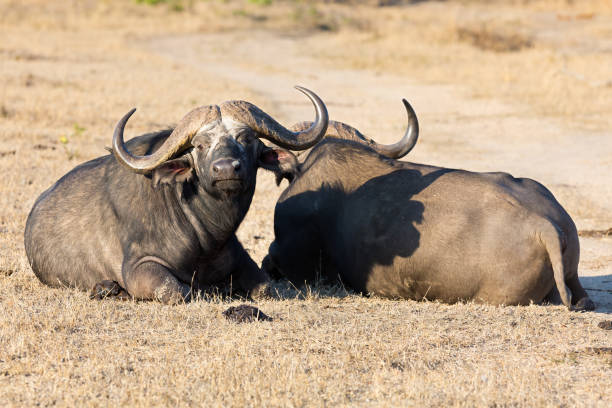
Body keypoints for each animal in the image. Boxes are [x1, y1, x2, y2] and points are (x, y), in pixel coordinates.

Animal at [22, 86, 330, 302]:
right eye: (200, 145)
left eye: (246, 138)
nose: (225, 168)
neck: (206, 238)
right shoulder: (141, 266)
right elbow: (177, 291)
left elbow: (266, 288)